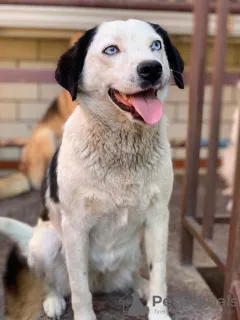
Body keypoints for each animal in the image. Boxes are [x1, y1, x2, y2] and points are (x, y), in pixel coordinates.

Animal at [1, 19, 184, 320]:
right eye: (111, 49)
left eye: (156, 45)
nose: (152, 68)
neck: (123, 150)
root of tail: (103, 280)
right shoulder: (75, 227)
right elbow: (79, 288)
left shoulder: (158, 217)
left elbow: (159, 273)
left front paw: (159, 312)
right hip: (46, 244)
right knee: (53, 282)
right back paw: (53, 300)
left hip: (135, 247)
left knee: (133, 275)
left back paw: (141, 286)